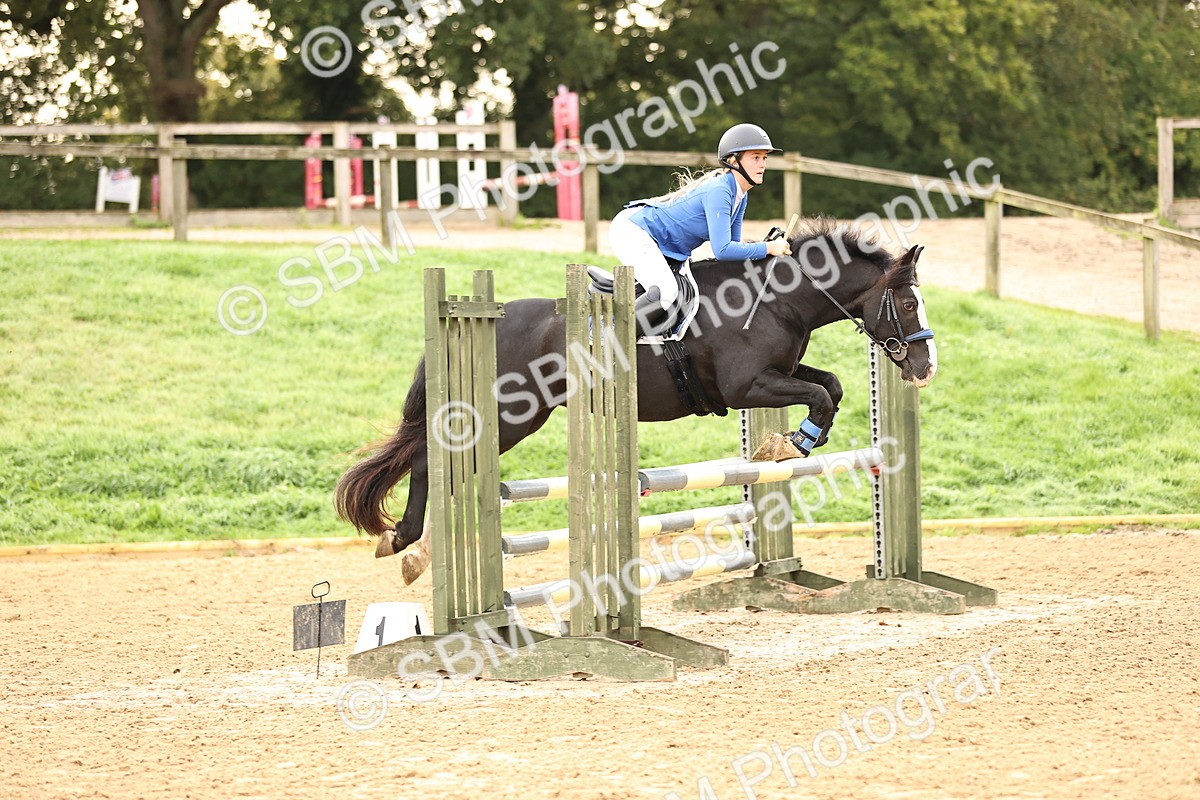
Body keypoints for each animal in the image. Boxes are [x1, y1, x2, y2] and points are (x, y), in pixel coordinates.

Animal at [334, 219, 937, 581]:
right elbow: (819, 394)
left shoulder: (776, 375)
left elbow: (829, 386)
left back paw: (418, 547)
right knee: (427, 458)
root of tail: (476, 315)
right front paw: (789, 446)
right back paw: (406, 543)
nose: (925, 369)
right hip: (508, 416)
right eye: (907, 304)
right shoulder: (748, 385)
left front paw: (789, 445)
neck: (777, 300)